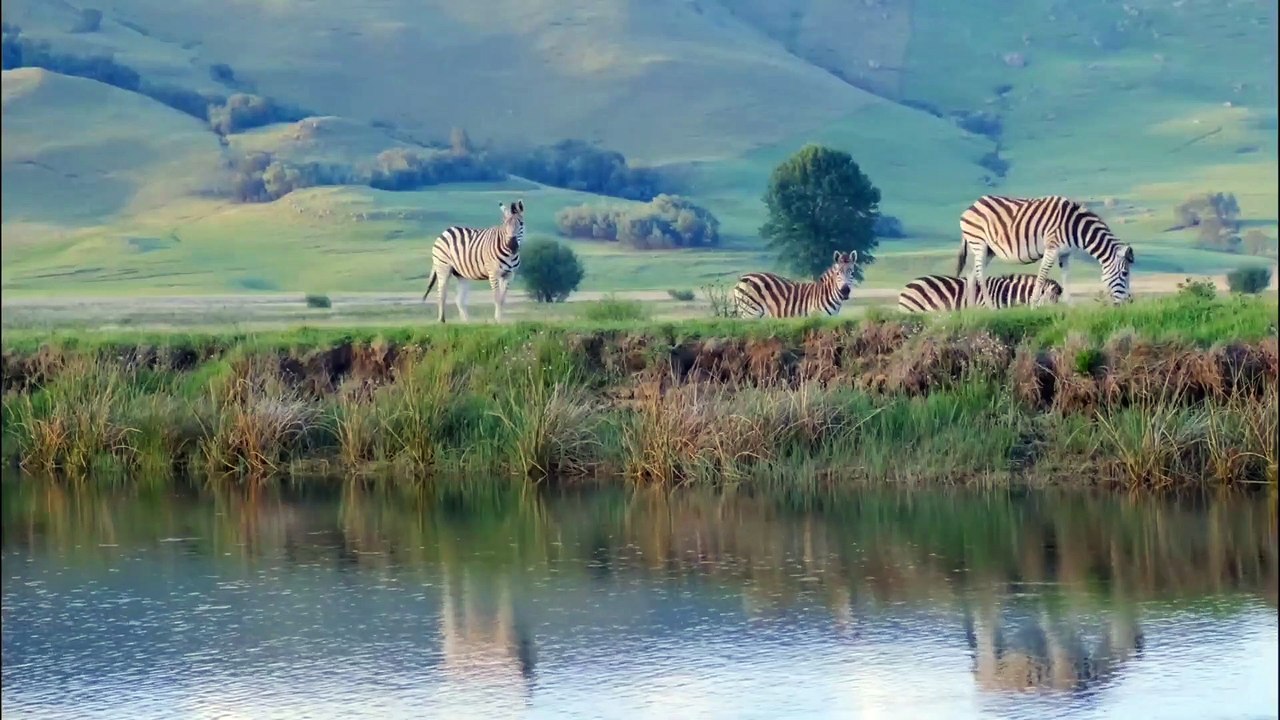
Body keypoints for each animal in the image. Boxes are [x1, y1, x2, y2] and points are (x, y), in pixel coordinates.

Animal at [955, 195, 1135, 308]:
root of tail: (972, 206)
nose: (1129, 303)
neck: (1076, 227)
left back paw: (972, 309)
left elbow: (1066, 277)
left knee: (971, 274)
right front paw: (1034, 305)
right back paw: (990, 306)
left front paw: (1072, 306)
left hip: (989, 250)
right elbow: (1042, 276)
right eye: (1125, 273)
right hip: (979, 243)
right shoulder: (1052, 248)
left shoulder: (1065, 253)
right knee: (979, 274)